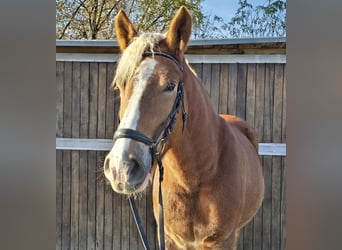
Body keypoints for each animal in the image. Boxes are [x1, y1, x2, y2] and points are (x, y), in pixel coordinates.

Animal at [103, 5, 264, 250]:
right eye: (119, 86)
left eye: (170, 86)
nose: (121, 168)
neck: (195, 178)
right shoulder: (170, 238)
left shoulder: (222, 240)